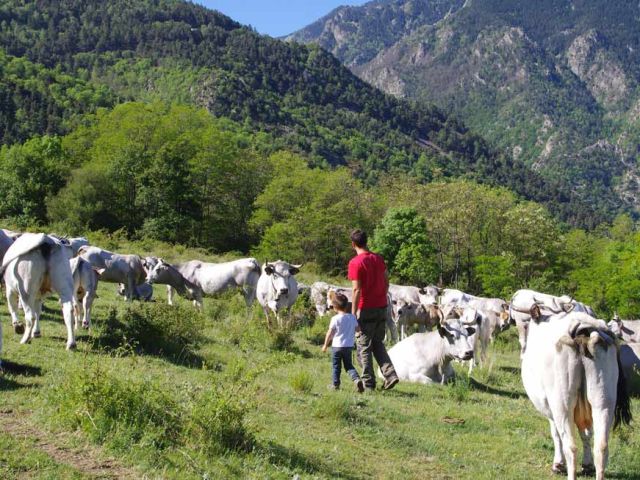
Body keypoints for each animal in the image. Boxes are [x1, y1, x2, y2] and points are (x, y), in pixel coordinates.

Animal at [524, 306, 632, 478]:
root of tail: (582, 329)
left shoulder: (550, 408)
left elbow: (556, 434)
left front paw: (558, 465)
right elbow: (586, 434)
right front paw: (587, 465)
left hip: (562, 404)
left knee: (571, 447)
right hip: (603, 401)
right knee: (601, 446)